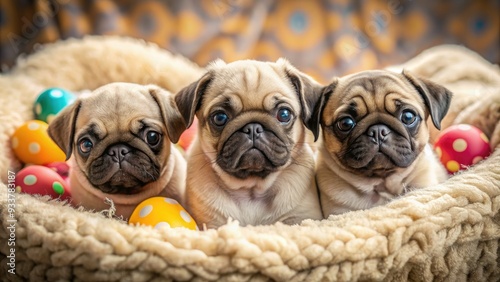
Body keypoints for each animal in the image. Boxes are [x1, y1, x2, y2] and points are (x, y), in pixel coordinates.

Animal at [175, 58, 324, 228]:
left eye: (284, 114)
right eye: (220, 117)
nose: (253, 128)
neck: (251, 188)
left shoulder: (299, 218)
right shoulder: (210, 223)